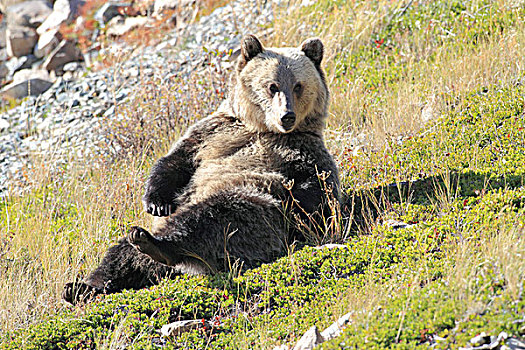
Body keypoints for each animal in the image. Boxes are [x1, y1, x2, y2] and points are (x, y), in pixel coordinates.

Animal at [62, 34, 340, 304]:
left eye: (298, 85)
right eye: (271, 86)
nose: (287, 116)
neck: (262, 129)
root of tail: (176, 271)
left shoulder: (302, 151)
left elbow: (318, 196)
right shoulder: (214, 131)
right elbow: (175, 162)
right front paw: (156, 203)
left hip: (250, 214)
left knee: (212, 219)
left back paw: (156, 245)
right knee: (121, 256)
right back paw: (82, 286)